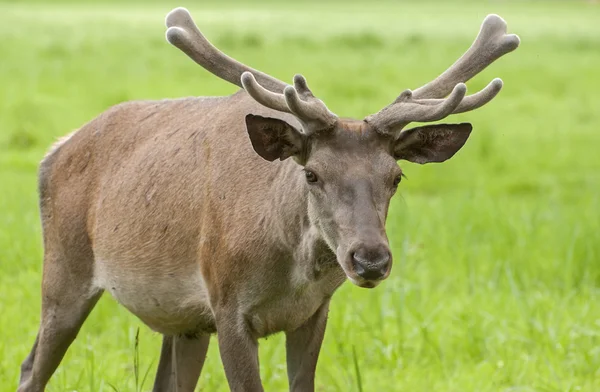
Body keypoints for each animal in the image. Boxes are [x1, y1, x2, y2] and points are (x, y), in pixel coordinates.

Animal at [16, 6, 516, 392]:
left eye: (396, 177)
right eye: (312, 174)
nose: (370, 259)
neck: (287, 271)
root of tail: (54, 150)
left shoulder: (314, 311)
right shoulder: (226, 305)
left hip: (184, 324)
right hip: (63, 268)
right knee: (30, 367)